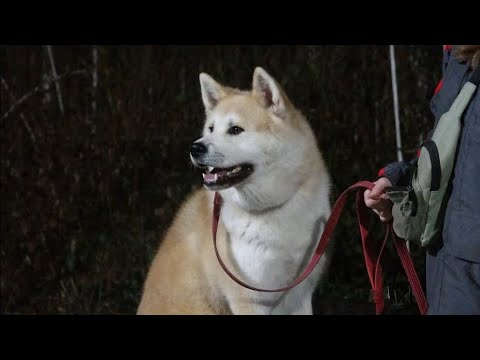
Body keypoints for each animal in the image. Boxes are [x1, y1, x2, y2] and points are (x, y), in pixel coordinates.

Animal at [137, 67, 334, 316]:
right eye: (210, 129)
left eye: (235, 130)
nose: (195, 148)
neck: (273, 209)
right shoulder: (249, 299)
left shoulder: (299, 297)